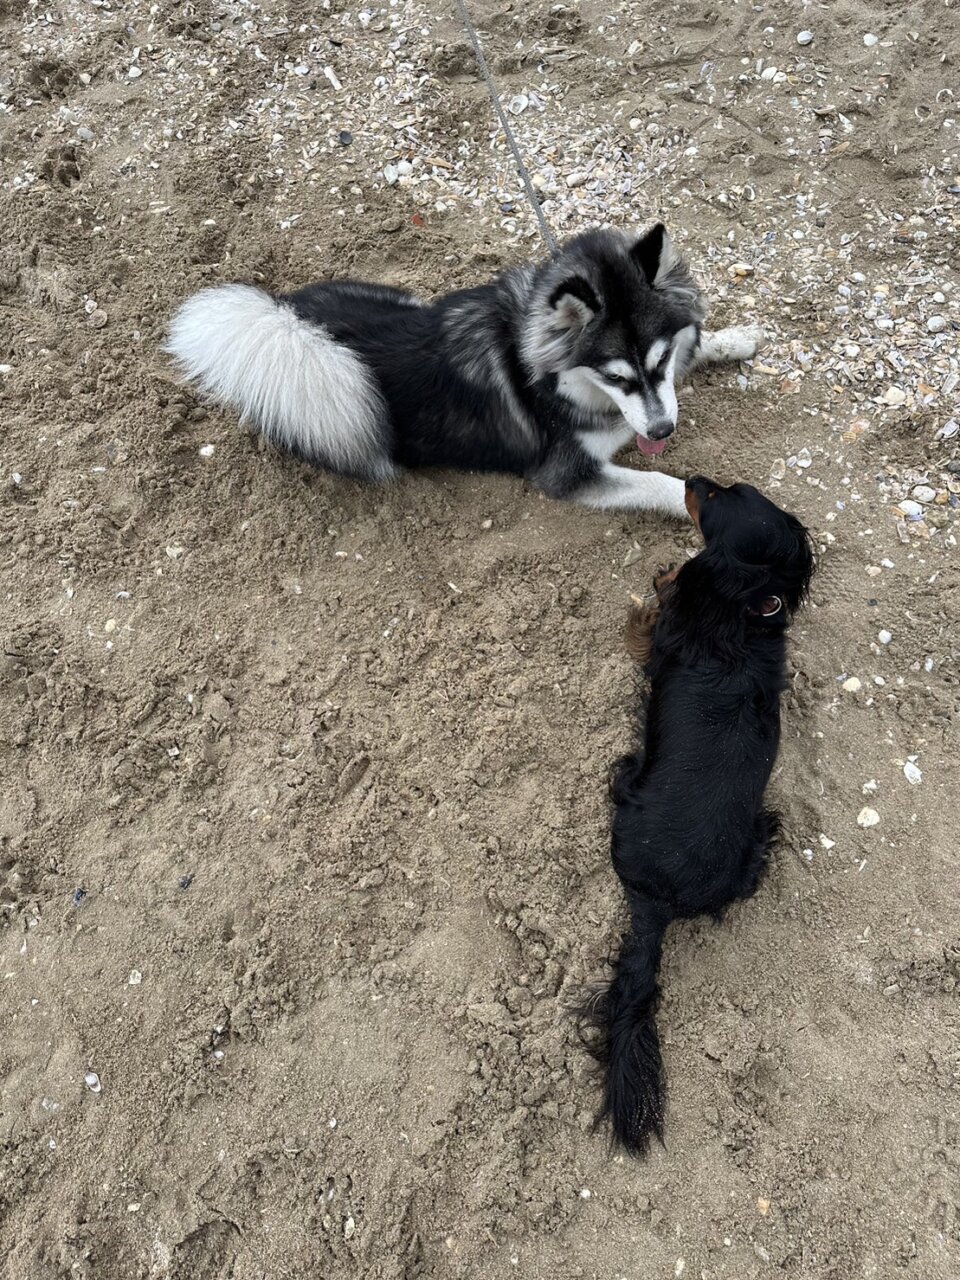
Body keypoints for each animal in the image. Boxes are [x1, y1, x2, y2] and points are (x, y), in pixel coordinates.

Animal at [168, 226, 762, 519]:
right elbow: (665, 482)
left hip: (396, 300)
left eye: (657, 362)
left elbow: (699, 346)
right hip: (323, 396)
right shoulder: (565, 474)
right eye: (616, 378)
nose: (663, 430)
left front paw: (736, 338)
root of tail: (280, 320)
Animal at [583, 476, 814, 1157]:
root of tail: (657, 901)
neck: (743, 613)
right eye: (733, 488)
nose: (691, 479)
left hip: (626, 787)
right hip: (755, 843)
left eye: (714, 500)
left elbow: (650, 619)